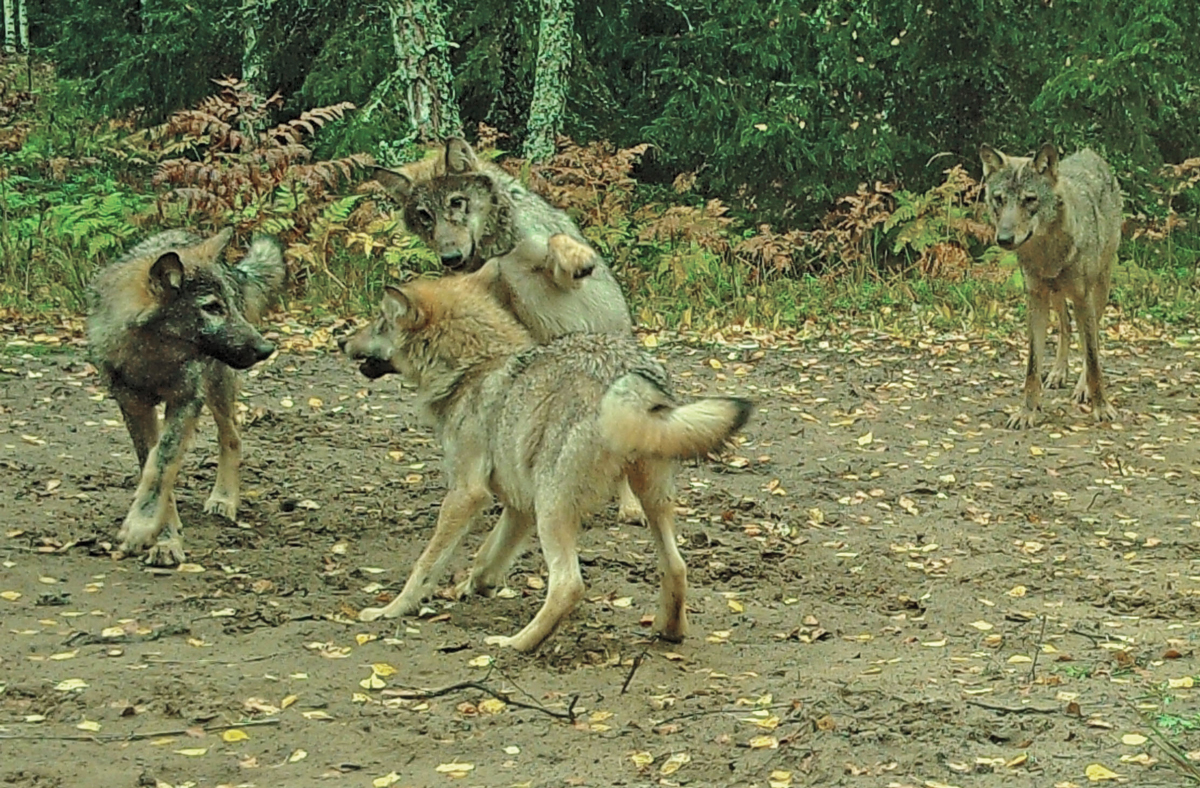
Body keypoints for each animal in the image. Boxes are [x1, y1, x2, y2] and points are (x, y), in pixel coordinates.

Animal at [87, 228, 285, 565]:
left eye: (229, 305)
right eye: (213, 308)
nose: (265, 349)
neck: (152, 360)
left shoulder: (186, 400)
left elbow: (161, 466)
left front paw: (144, 527)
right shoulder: (133, 407)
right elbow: (152, 464)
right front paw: (164, 536)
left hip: (217, 388)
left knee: (232, 438)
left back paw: (224, 500)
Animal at [340, 274, 752, 652]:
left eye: (379, 321)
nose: (342, 340)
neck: (473, 369)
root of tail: (627, 375)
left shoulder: (466, 494)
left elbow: (425, 564)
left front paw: (389, 611)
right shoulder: (519, 505)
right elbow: (486, 557)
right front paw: (473, 585)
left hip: (553, 509)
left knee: (569, 585)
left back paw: (513, 644)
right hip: (646, 503)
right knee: (677, 567)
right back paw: (669, 631)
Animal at [372, 138, 648, 522]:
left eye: (457, 202)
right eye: (426, 216)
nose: (450, 258)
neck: (498, 248)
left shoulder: (546, 264)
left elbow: (555, 244)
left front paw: (577, 260)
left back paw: (629, 506)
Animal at [979, 143, 1123, 429]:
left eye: (1029, 199)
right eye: (999, 199)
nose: (1004, 239)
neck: (1047, 253)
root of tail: (1091, 153)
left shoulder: (1083, 298)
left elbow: (1092, 358)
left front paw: (1102, 408)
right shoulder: (1036, 297)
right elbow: (1033, 366)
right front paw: (1027, 412)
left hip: (1099, 289)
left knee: (1091, 339)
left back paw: (1082, 388)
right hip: (1057, 296)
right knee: (1066, 327)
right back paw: (1058, 373)